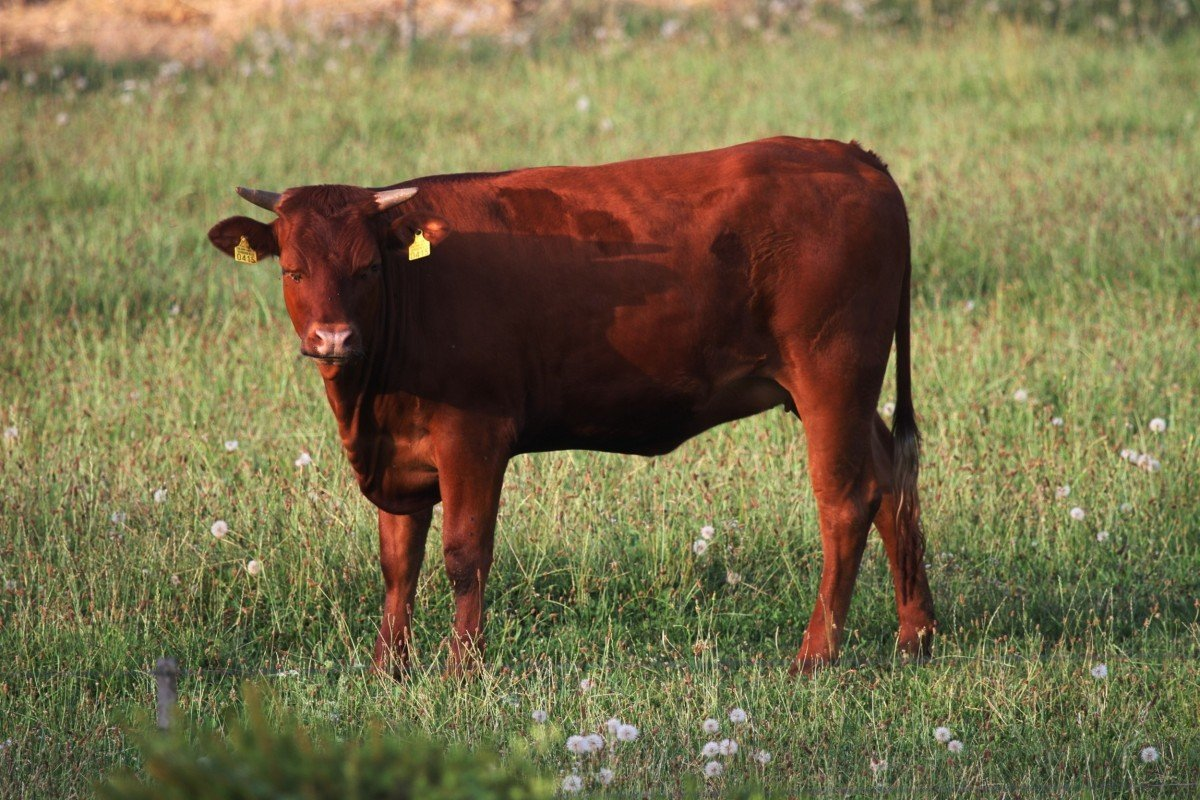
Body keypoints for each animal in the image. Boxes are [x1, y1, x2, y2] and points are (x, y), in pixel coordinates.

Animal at [206, 137, 936, 676]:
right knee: (892, 477)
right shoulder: (401, 454)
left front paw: (461, 670)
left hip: (831, 376)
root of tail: (850, 155)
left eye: (368, 269)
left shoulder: (473, 434)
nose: (333, 339)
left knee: (846, 501)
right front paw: (390, 669)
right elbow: (398, 562)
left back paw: (816, 654)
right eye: (293, 269)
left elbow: (464, 553)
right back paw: (915, 635)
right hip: (848, 392)